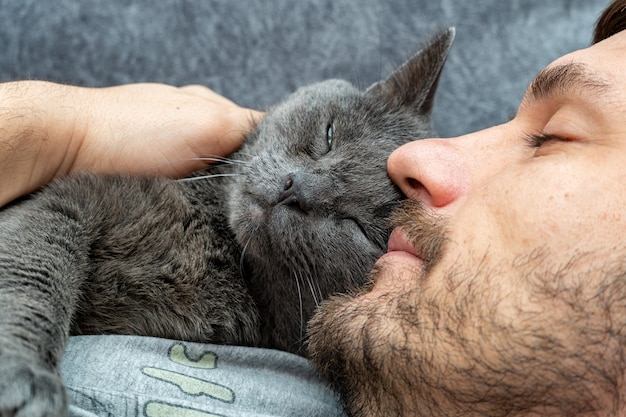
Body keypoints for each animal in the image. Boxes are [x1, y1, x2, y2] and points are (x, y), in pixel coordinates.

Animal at [0, 29, 450, 416]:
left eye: (357, 226)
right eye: (328, 135)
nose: (295, 188)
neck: (213, 238)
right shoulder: (68, 201)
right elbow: (33, 276)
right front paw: (25, 377)